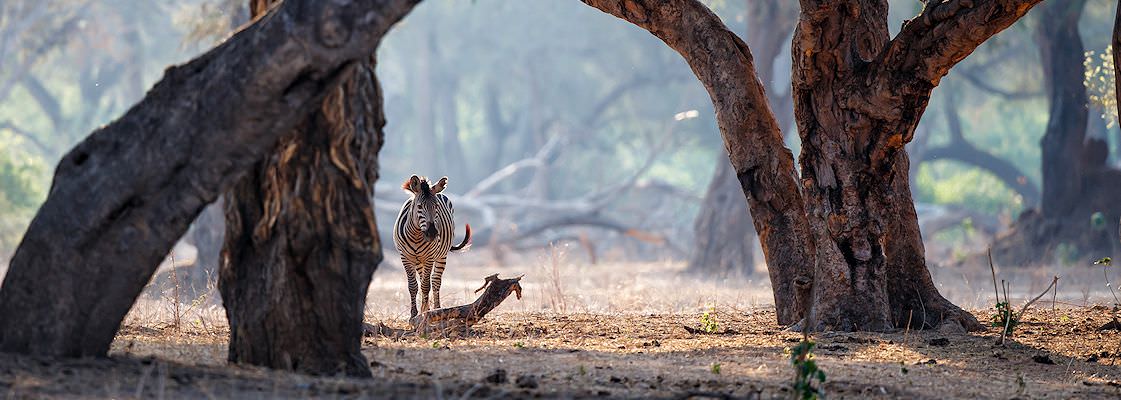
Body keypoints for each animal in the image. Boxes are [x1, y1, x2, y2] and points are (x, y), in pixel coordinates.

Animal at [394, 174, 468, 318]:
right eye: (419, 206)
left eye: (436, 206)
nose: (432, 233)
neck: (416, 235)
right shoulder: (405, 257)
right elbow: (413, 285)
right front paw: (414, 314)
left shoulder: (429, 258)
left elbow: (426, 285)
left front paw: (425, 313)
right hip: (418, 261)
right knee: (423, 278)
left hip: (441, 256)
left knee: (435, 281)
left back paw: (436, 308)